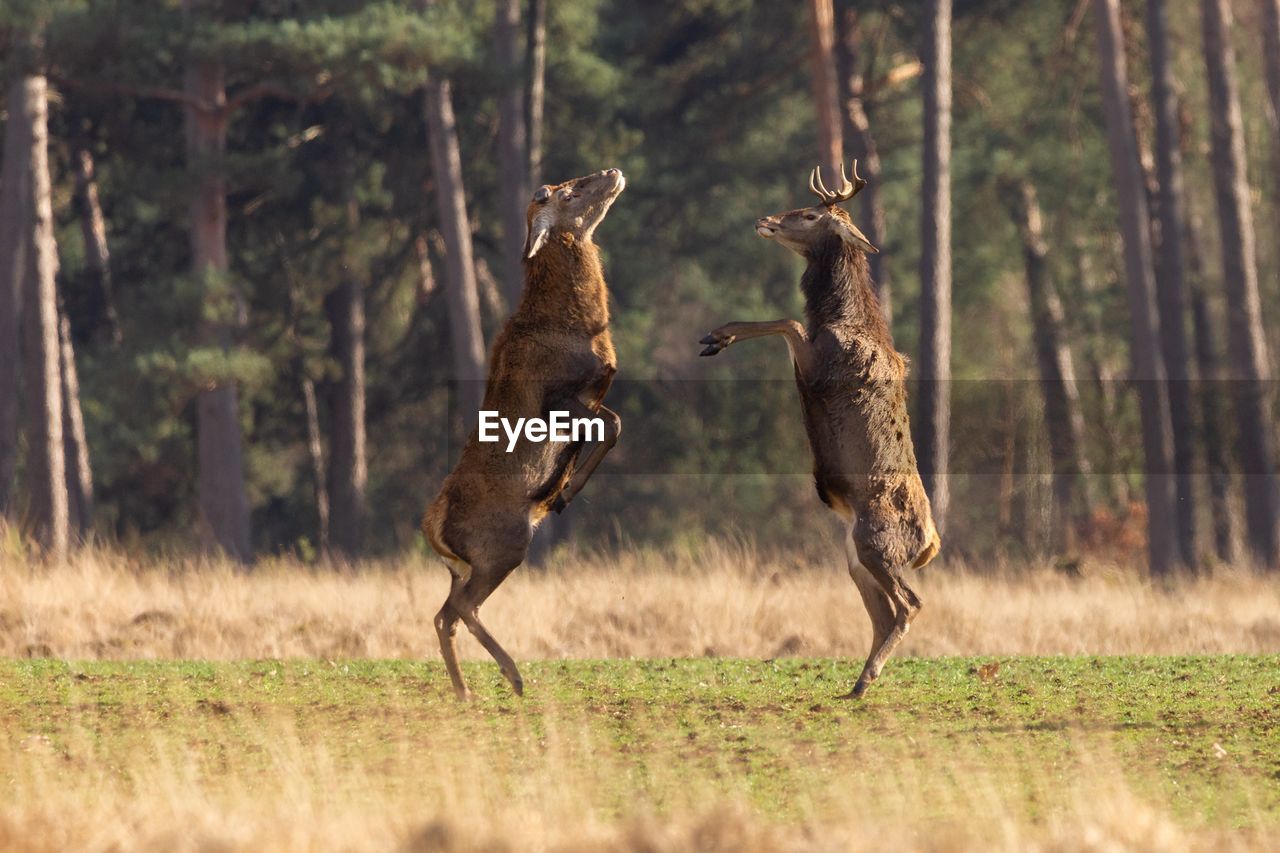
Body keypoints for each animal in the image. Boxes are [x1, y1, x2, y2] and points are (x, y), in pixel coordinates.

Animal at [422, 166, 627, 696]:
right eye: (562, 192)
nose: (611, 171)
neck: (582, 326)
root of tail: (432, 530)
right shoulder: (559, 399)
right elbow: (613, 426)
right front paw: (563, 490)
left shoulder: (591, 396)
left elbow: (610, 426)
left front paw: (560, 487)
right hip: (504, 546)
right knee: (462, 609)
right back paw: (512, 675)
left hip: (466, 566)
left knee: (443, 615)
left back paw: (464, 690)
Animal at [701, 161, 942, 696]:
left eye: (811, 214)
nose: (765, 220)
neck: (842, 317)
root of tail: (929, 546)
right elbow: (790, 321)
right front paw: (717, 336)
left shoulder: (821, 362)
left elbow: (789, 322)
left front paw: (719, 335)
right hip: (855, 556)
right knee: (884, 613)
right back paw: (857, 682)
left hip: (875, 543)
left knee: (910, 605)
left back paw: (867, 677)